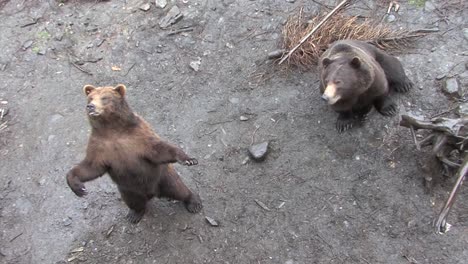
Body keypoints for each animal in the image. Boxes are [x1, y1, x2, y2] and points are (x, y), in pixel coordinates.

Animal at [66, 84, 203, 223]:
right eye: (90, 98)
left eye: (104, 98)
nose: (90, 106)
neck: (111, 129)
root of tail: (153, 193)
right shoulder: (100, 146)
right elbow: (91, 167)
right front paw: (78, 187)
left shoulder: (139, 136)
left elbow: (158, 150)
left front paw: (188, 159)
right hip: (128, 189)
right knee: (134, 201)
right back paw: (134, 215)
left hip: (162, 177)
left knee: (177, 188)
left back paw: (193, 202)